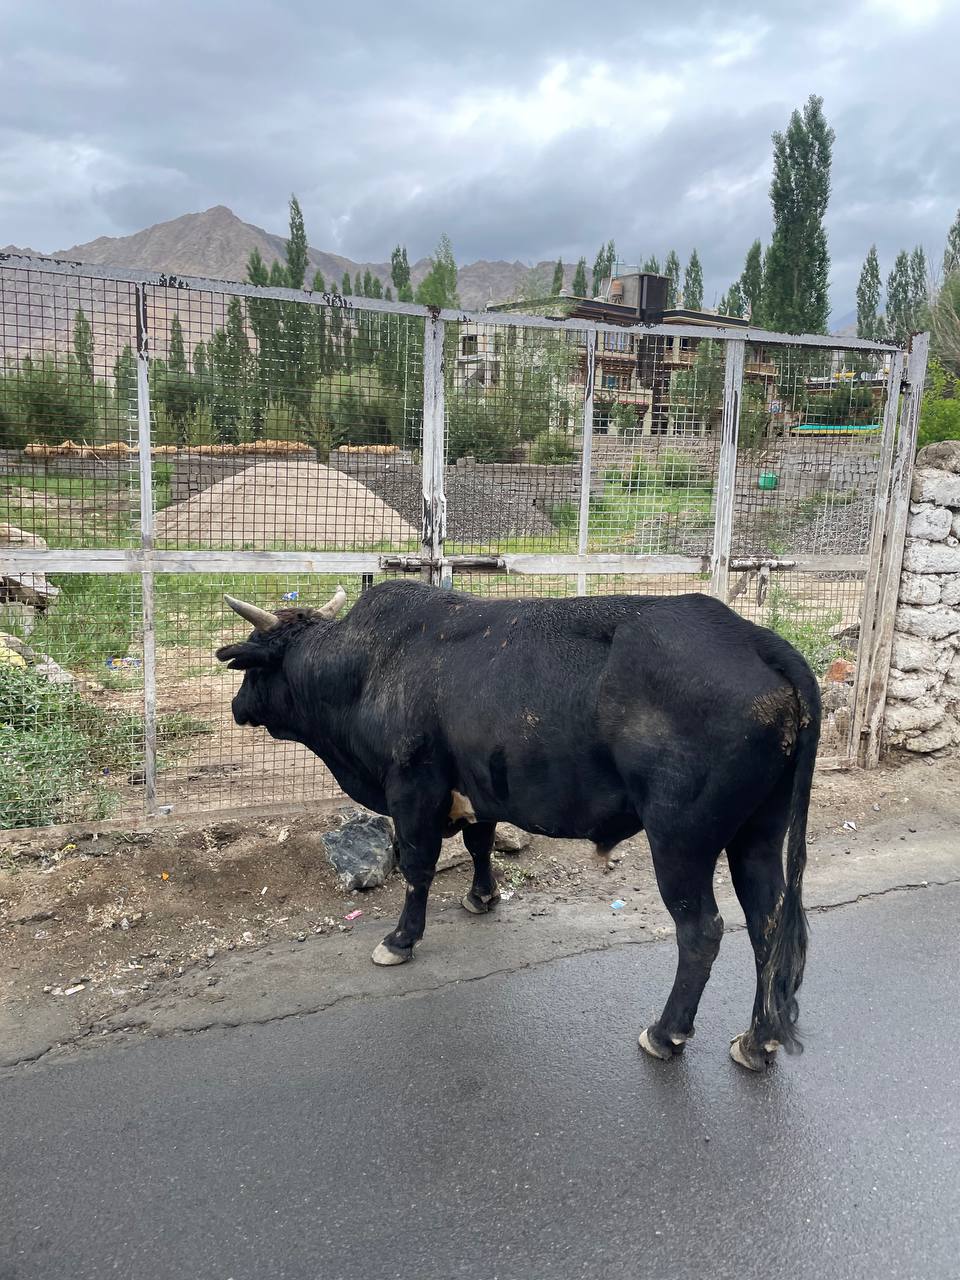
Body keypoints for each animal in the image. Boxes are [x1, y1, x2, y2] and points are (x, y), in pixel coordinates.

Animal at [217, 581, 819, 1070]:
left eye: (253, 668)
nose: (236, 705)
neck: (367, 667)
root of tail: (751, 637)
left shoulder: (412, 787)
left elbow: (418, 867)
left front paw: (401, 939)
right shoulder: (478, 786)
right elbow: (480, 842)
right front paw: (482, 897)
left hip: (680, 841)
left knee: (702, 932)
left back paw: (666, 1033)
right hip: (757, 834)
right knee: (767, 921)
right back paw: (757, 1040)